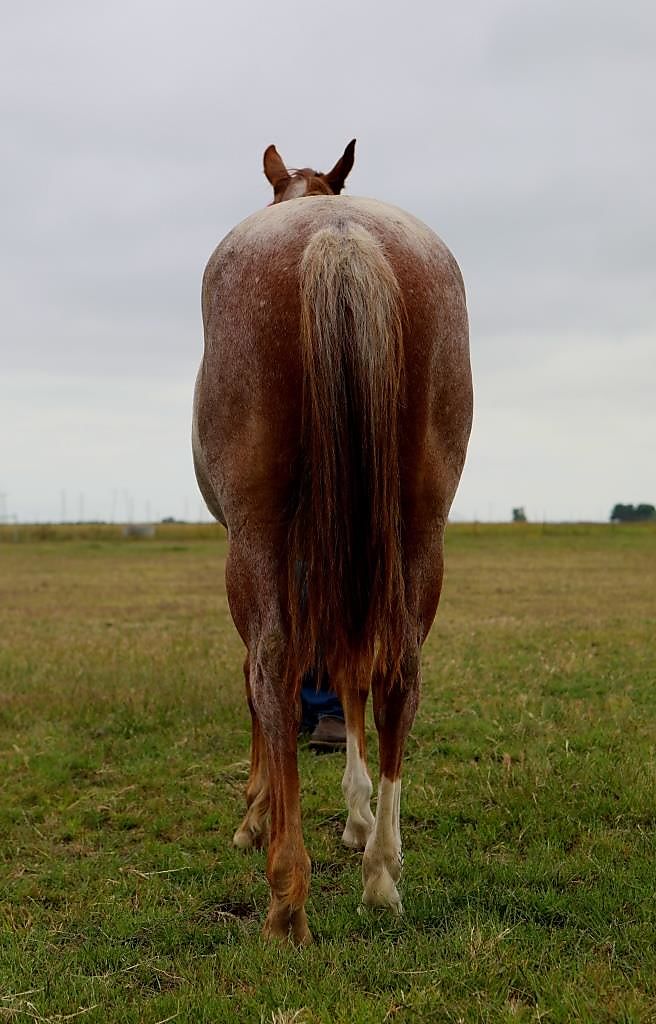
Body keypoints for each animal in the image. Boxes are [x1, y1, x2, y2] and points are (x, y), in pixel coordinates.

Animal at [192, 140, 473, 943]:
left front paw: (255, 814)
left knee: (272, 664)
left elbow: (265, 683)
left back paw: (287, 895)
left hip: (257, 539)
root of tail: (341, 238)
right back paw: (381, 872)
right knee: (397, 671)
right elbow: (350, 674)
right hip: (418, 528)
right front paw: (355, 816)